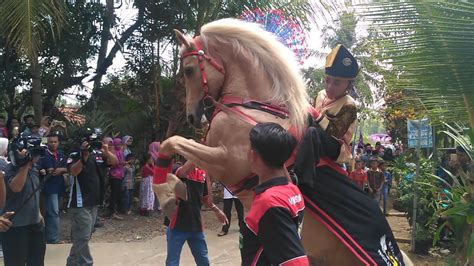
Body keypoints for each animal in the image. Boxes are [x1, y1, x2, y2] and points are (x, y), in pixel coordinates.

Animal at [158, 19, 412, 266]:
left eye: (188, 70)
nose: (192, 116)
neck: (253, 108)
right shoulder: (212, 150)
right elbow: (182, 159)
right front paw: (175, 187)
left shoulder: (227, 161)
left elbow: (173, 142)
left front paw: (164, 192)